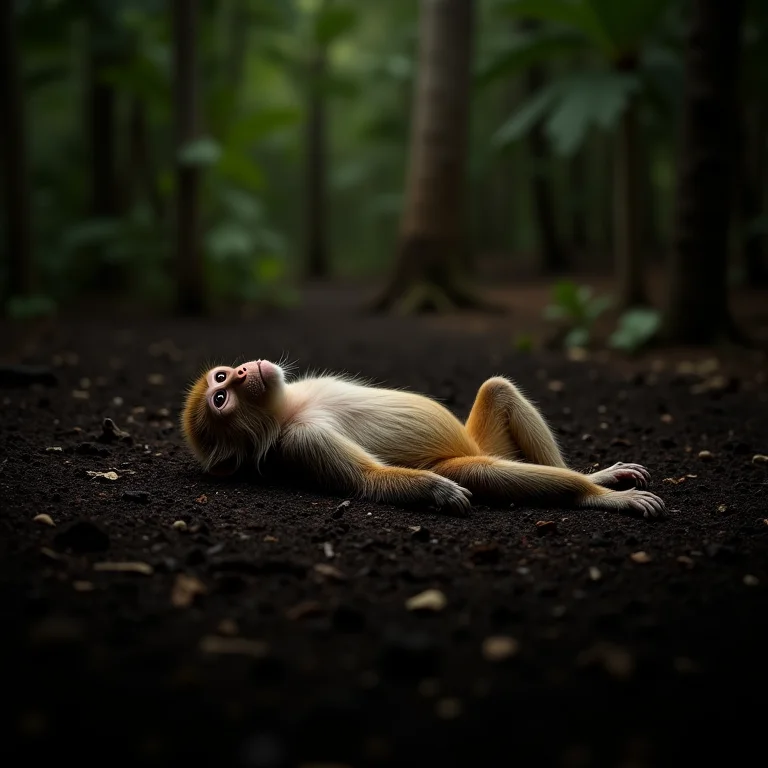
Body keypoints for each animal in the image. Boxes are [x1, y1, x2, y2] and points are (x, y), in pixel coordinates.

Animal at [180, 359, 666, 519]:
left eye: (223, 378)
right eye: (221, 397)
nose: (245, 369)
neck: (287, 409)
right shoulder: (303, 439)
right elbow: (369, 481)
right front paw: (435, 491)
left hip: (482, 440)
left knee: (498, 390)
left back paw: (598, 479)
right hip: (467, 458)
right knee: (480, 471)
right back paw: (595, 495)